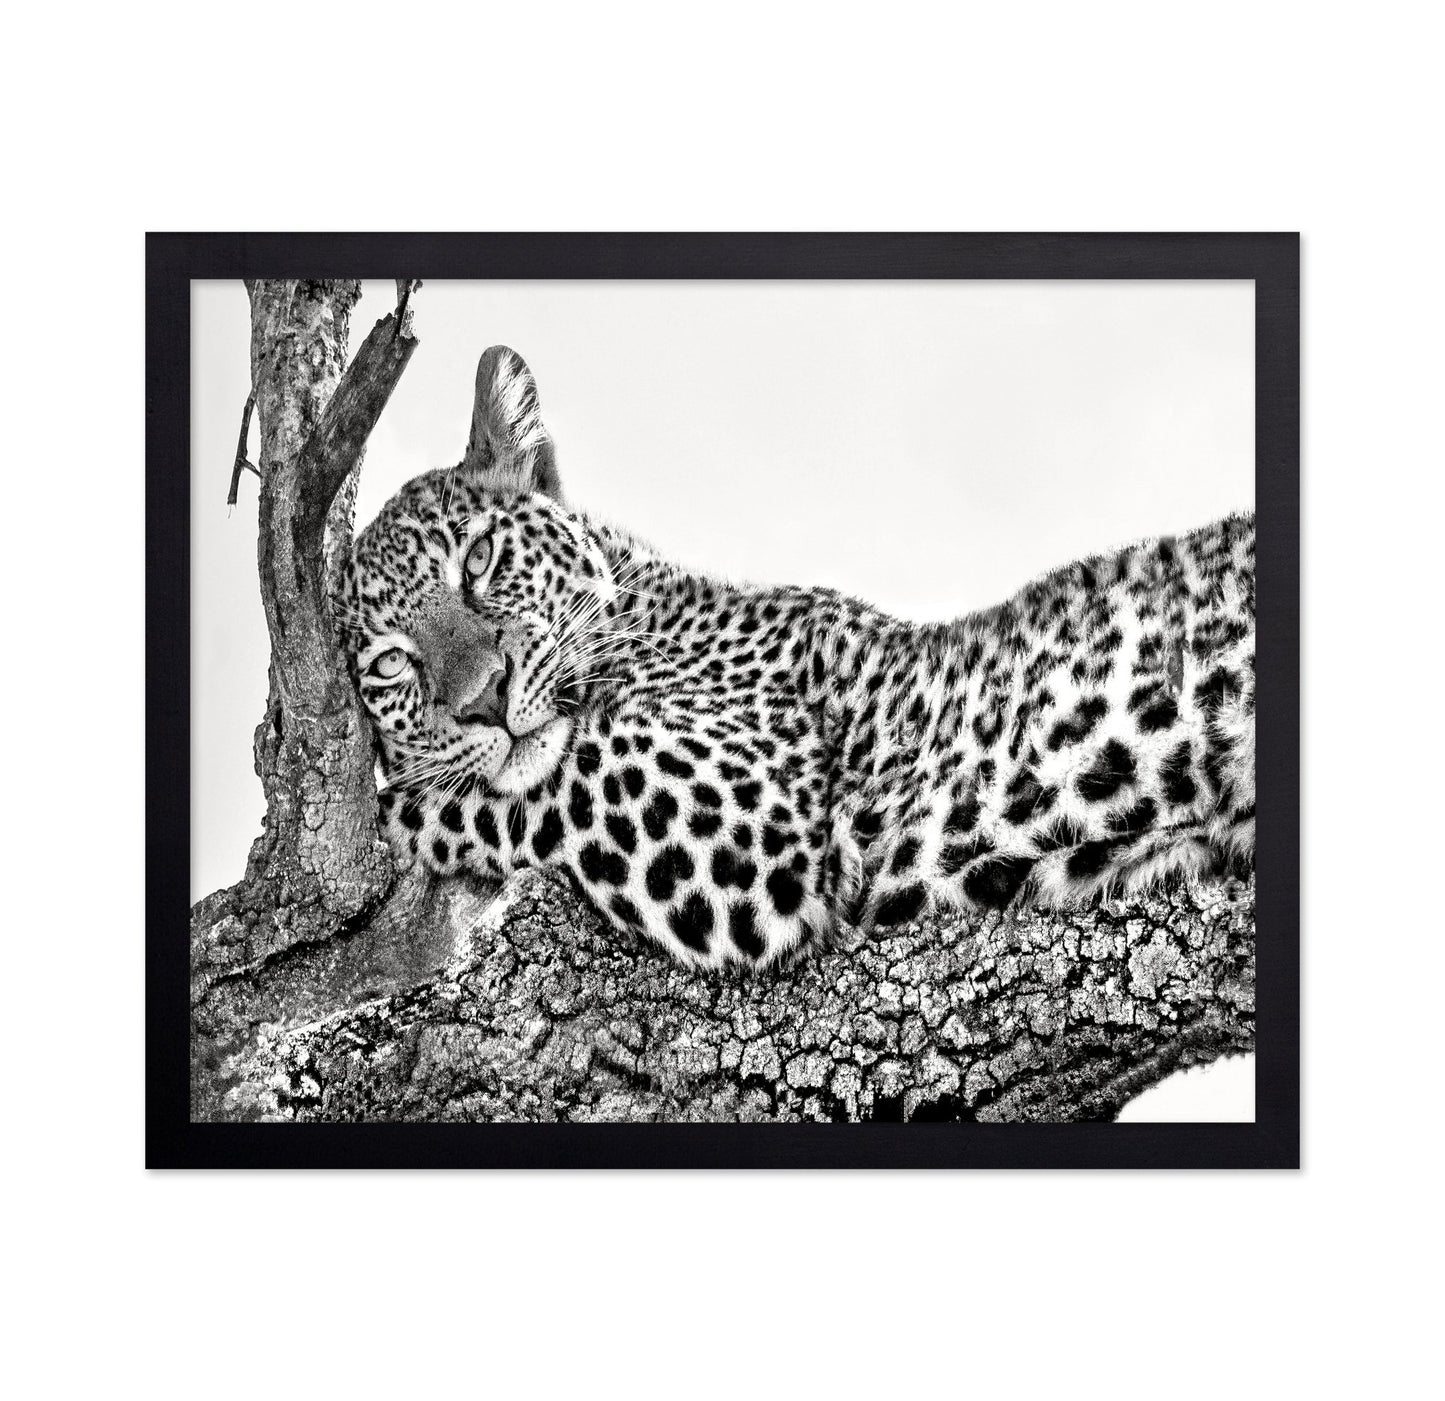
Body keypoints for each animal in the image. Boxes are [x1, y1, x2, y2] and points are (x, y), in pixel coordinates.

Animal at [341, 345, 1256, 971]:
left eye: (480, 558)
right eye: (388, 664)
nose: (484, 699)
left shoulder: (746, 817)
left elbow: (519, 790)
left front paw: (393, 809)